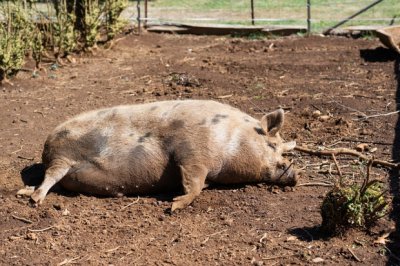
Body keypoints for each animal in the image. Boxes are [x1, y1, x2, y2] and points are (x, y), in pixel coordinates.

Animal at [18, 98, 300, 211]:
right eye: (272, 145)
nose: (294, 173)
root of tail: (46, 147)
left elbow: (199, 184)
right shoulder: (192, 150)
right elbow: (193, 183)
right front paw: (174, 206)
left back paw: (26, 193)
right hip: (62, 156)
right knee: (49, 178)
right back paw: (34, 200)